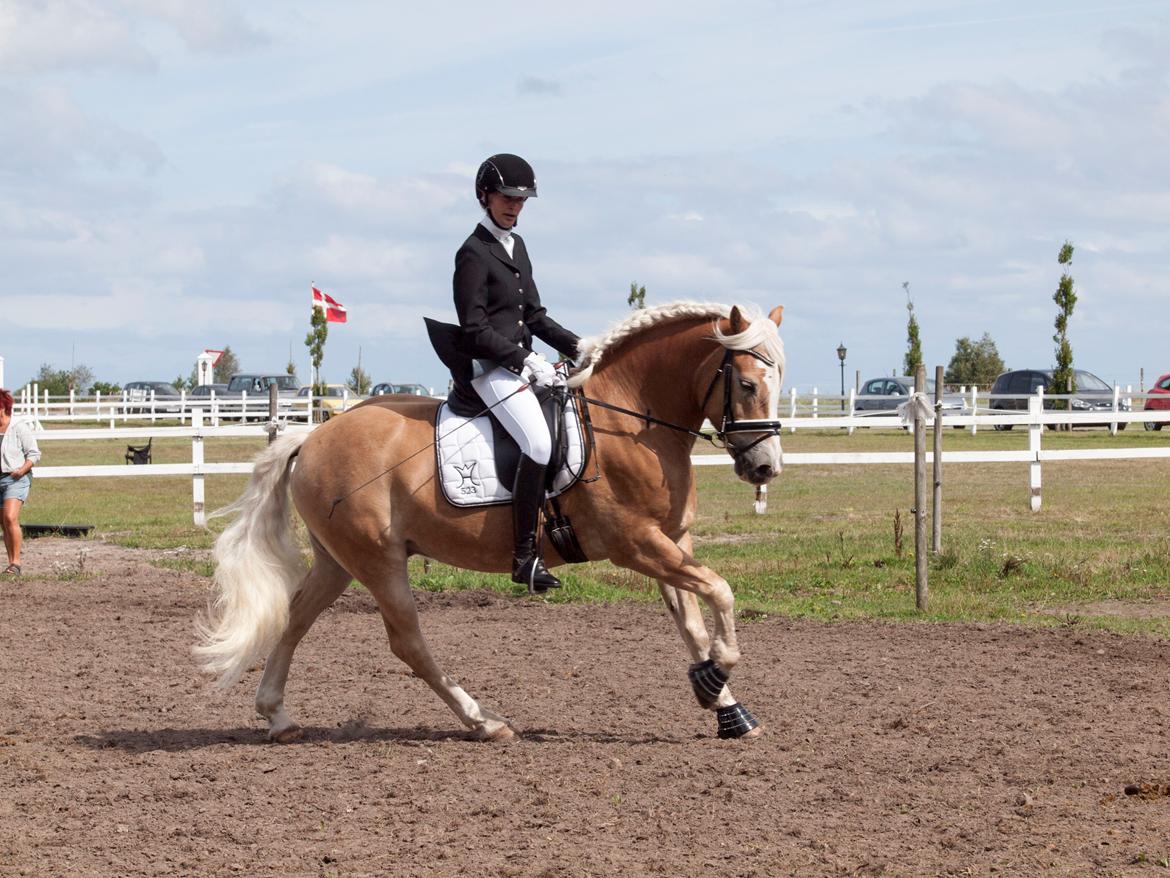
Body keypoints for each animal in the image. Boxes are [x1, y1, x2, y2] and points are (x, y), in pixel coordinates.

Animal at [196, 302, 786, 744]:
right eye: (747, 384)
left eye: (779, 380)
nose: (765, 468)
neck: (629, 417)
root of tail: (314, 435)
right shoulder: (636, 543)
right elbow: (721, 592)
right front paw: (717, 673)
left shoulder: (670, 541)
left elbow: (692, 620)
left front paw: (724, 705)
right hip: (377, 560)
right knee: (407, 642)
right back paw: (484, 722)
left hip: (338, 560)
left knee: (296, 617)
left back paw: (277, 716)